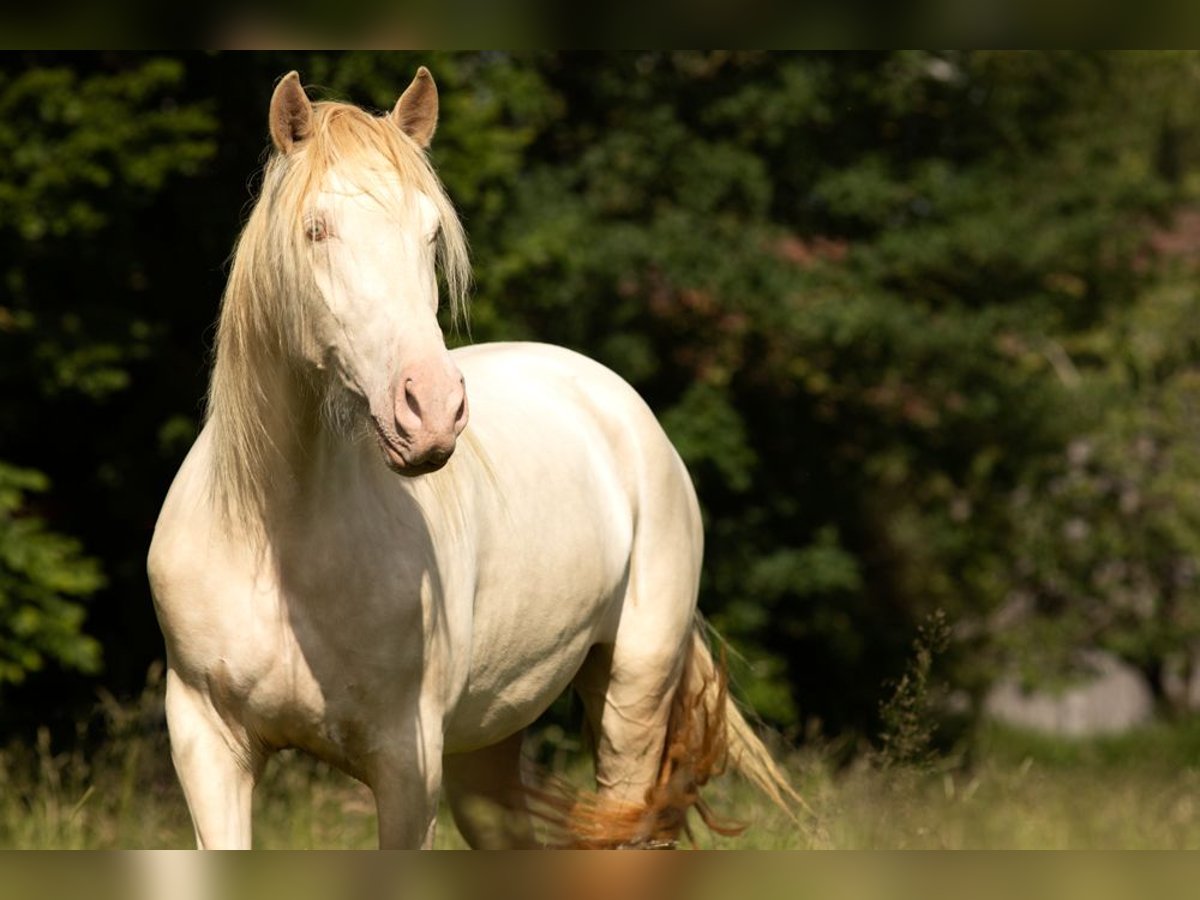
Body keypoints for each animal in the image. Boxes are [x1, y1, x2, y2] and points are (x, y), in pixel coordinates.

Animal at [145, 66, 796, 849]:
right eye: (316, 229)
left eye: (431, 232)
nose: (430, 409)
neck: (275, 540)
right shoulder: (209, 747)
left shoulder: (406, 765)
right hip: (486, 745)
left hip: (633, 697)